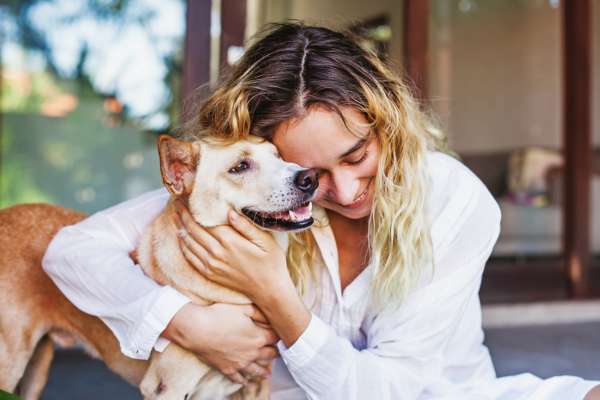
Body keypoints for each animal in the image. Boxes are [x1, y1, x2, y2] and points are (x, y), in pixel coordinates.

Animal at [0, 135, 318, 400]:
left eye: (279, 156)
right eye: (240, 167)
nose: (310, 177)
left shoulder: (254, 386)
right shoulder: (166, 388)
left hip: (36, 369)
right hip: (10, 364)